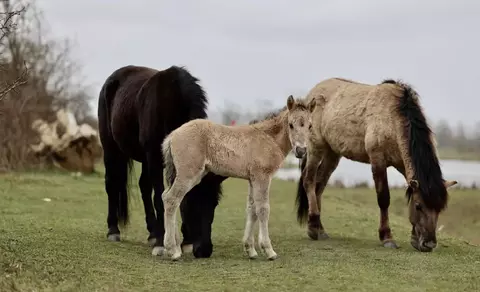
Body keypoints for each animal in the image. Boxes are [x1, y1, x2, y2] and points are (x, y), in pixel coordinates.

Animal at [98, 64, 227, 258]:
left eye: (214, 203)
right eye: (192, 201)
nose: (204, 250)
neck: (172, 104)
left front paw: (183, 241)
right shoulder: (154, 155)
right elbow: (160, 197)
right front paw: (161, 243)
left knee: (144, 186)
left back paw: (151, 233)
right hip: (110, 148)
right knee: (111, 183)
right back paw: (113, 230)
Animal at [158, 96, 316, 260]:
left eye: (310, 126)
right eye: (291, 125)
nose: (301, 151)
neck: (268, 138)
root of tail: (172, 135)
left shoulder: (252, 179)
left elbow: (252, 209)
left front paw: (250, 249)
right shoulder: (262, 177)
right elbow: (263, 209)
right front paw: (269, 250)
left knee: (168, 197)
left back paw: (175, 246)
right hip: (188, 174)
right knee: (171, 199)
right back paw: (173, 250)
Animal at [296, 77, 458, 251]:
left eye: (439, 209)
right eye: (418, 206)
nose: (429, 244)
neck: (393, 118)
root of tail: (312, 94)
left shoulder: (402, 164)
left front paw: (414, 238)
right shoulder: (378, 160)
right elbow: (383, 198)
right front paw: (387, 237)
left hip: (332, 153)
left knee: (319, 185)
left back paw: (319, 229)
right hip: (315, 148)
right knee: (309, 180)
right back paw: (313, 226)